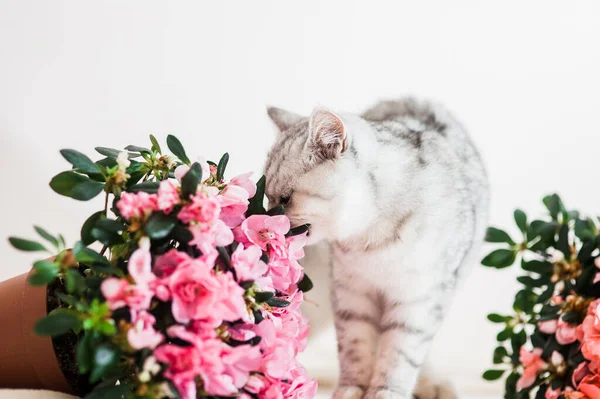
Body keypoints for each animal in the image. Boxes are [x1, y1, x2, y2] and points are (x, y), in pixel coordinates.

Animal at [262, 99, 488, 399]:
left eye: (286, 199)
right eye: (266, 197)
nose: (267, 218)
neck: (369, 238)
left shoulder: (419, 298)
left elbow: (399, 354)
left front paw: (385, 391)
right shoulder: (351, 295)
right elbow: (354, 349)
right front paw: (351, 390)